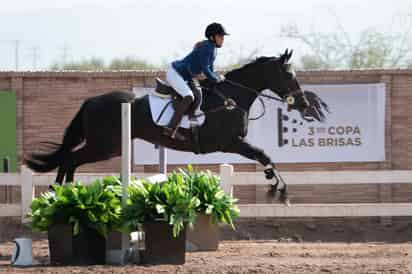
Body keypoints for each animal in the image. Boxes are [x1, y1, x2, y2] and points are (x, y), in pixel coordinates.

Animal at [25, 49, 328, 203]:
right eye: (288, 75)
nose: (304, 105)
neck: (232, 98)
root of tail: (91, 101)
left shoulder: (234, 144)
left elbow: (266, 157)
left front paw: (274, 184)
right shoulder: (230, 143)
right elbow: (264, 155)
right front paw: (279, 189)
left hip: (106, 147)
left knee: (70, 160)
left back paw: (65, 193)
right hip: (106, 147)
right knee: (70, 159)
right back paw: (57, 194)